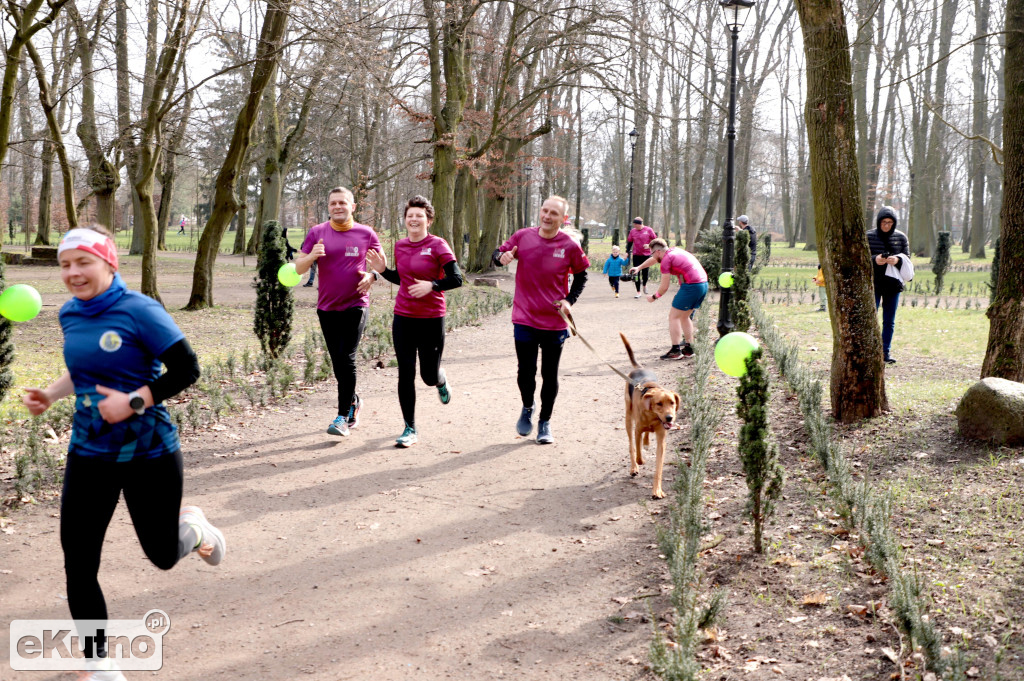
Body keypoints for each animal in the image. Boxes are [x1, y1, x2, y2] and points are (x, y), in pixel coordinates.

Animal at [622, 331, 679, 497]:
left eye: (672, 403)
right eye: (659, 404)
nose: (669, 418)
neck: (653, 417)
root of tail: (639, 368)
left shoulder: (661, 439)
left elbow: (658, 468)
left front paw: (657, 490)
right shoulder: (638, 430)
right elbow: (637, 450)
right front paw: (639, 462)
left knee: (645, 437)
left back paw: (646, 442)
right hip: (628, 419)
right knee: (632, 445)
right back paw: (634, 467)